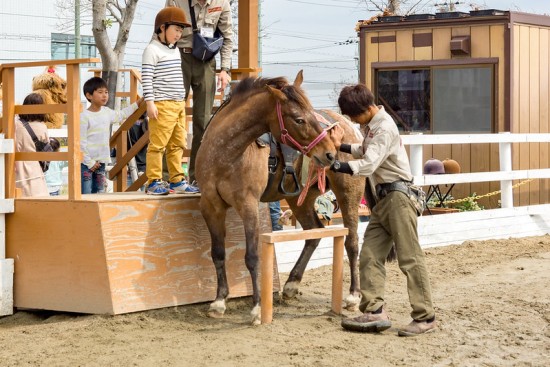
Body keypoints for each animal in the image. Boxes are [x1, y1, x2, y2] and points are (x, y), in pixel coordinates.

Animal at [195, 72, 366, 324]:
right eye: (299, 119)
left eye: (310, 114)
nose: (329, 153)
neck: (224, 152)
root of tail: (348, 126)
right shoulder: (211, 205)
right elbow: (217, 253)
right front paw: (219, 301)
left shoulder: (248, 205)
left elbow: (252, 256)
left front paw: (257, 308)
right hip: (299, 200)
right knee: (313, 233)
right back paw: (291, 284)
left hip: (348, 194)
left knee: (352, 241)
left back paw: (353, 296)